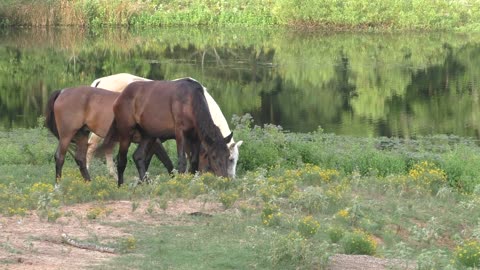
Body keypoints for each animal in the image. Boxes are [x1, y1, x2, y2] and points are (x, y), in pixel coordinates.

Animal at [44, 86, 173, 184]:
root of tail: (62, 91)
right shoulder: (154, 140)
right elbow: (164, 160)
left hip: (81, 134)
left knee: (80, 158)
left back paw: (89, 183)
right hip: (66, 135)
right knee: (59, 157)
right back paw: (58, 187)